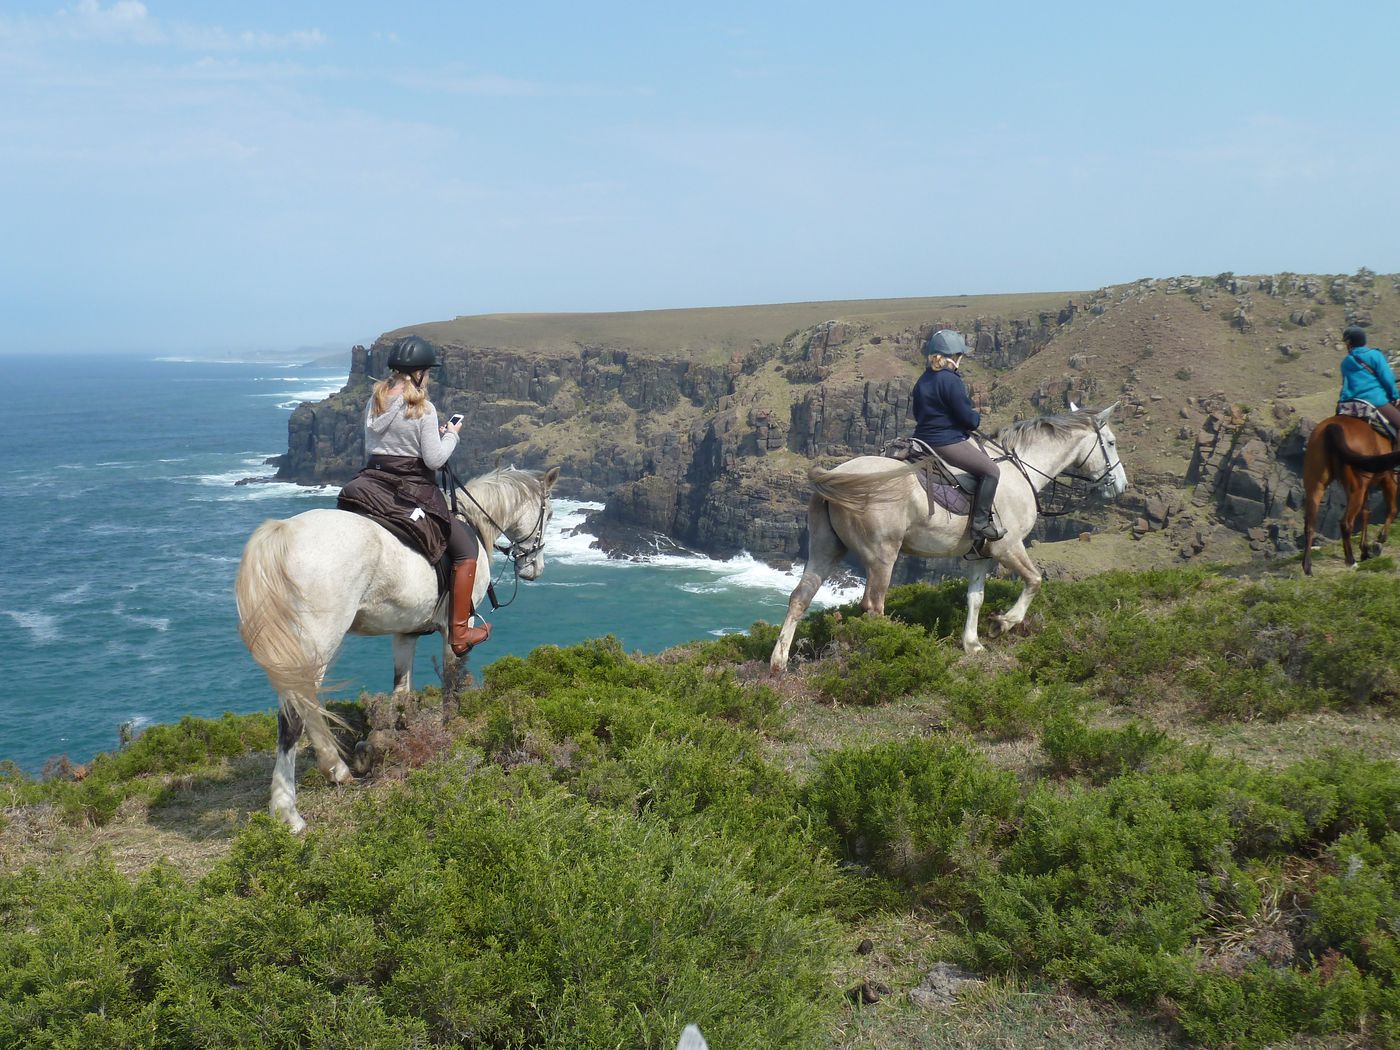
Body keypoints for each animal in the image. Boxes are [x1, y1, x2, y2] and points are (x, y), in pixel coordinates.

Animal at [236, 467, 557, 828]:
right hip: (316, 642)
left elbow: (401, 692)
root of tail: (285, 533)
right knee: (295, 713)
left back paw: (332, 773)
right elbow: (451, 682)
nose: (535, 568)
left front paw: (399, 740)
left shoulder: (405, 635)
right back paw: (290, 808)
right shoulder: (455, 629)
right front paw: (452, 730)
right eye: (550, 514)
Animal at [767, 406, 1125, 669]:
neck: (1019, 470)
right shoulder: (1007, 548)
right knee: (873, 605)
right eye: (1109, 442)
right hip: (882, 556)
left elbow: (975, 598)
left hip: (826, 550)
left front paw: (973, 643)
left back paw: (779, 663)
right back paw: (886, 650)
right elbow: (1035, 581)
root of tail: (837, 475)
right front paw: (1003, 624)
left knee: (800, 597)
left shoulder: (980, 555)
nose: (1121, 486)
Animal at [1299, 417, 1400, 576]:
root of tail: (1333, 426)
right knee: (1346, 522)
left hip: (1316, 485)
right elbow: (1391, 510)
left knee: (1310, 524)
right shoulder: (1389, 479)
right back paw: (1351, 561)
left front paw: (1365, 550)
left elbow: (1366, 513)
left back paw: (1307, 567)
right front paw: (1378, 542)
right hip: (1357, 488)